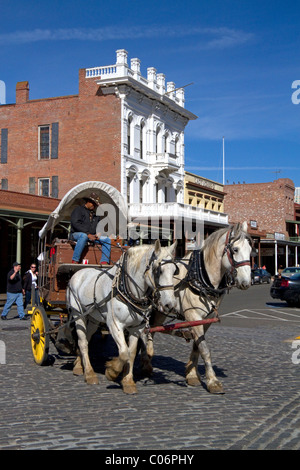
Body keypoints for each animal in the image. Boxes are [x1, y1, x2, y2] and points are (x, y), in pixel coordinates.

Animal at [66, 241, 178, 394]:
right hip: (78, 314)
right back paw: (89, 374)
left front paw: (128, 381)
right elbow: (124, 352)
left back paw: (78, 365)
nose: (170, 304)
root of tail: (78, 273)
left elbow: (131, 353)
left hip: (93, 319)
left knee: (86, 340)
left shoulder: (137, 328)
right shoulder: (114, 324)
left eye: (174, 271)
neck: (127, 289)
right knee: (82, 342)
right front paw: (112, 372)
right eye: (158, 270)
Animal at [141, 222, 253, 394]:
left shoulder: (206, 319)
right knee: (149, 330)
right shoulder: (193, 315)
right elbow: (205, 349)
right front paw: (213, 381)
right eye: (235, 250)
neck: (202, 278)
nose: (246, 282)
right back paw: (147, 363)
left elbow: (197, 346)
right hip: (158, 309)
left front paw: (192, 374)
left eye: (251, 250)